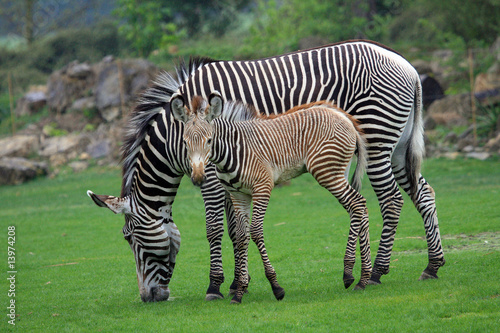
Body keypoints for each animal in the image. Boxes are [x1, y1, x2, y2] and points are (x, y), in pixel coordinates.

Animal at [172, 93, 372, 304]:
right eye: (185, 143)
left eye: (209, 141)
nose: (198, 178)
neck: (232, 151)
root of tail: (343, 116)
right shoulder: (239, 195)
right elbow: (242, 237)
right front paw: (240, 290)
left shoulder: (262, 188)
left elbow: (255, 232)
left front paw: (275, 286)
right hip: (338, 172)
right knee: (359, 206)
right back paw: (363, 278)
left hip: (327, 172)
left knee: (357, 204)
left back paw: (349, 273)